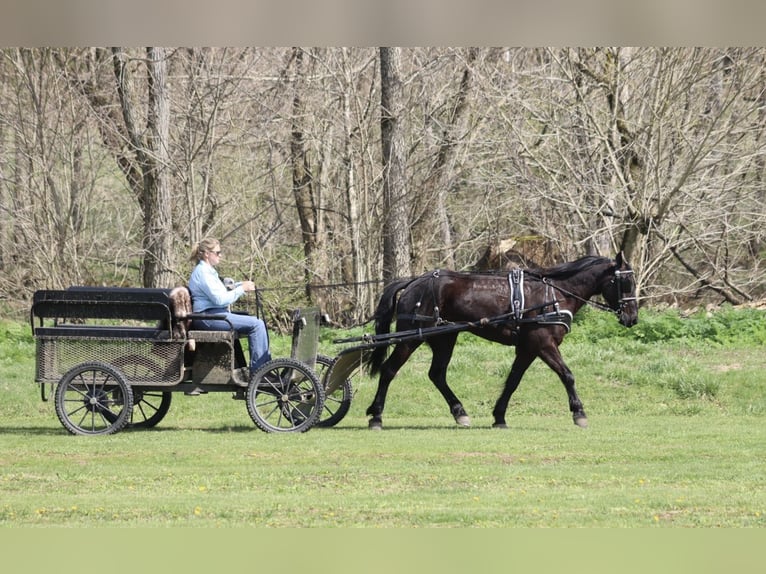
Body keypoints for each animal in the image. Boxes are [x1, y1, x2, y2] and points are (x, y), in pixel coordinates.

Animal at [363, 253, 638, 430]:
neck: (554, 294)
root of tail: (414, 281)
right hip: (411, 338)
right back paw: (376, 417)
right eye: (625, 281)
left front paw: (499, 416)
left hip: (445, 338)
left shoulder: (527, 348)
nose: (632, 318)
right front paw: (579, 413)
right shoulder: (543, 343)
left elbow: (513, 381)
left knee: (437, 374)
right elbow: (567, 375)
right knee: (389, 370)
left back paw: (460, 413)